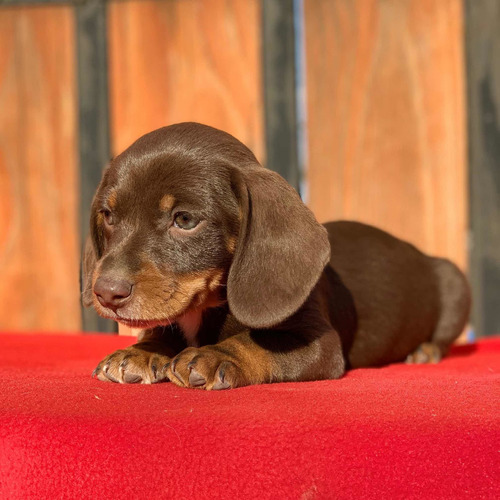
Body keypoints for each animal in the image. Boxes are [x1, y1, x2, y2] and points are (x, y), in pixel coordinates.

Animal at [84, 122, 470, 390]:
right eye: (108, 215)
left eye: (185, 220)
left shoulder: (320, 344)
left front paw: (216, 355)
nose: (106, 293)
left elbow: (259, 343)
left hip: (454, 282)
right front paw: (143, 351)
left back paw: (425, 351)